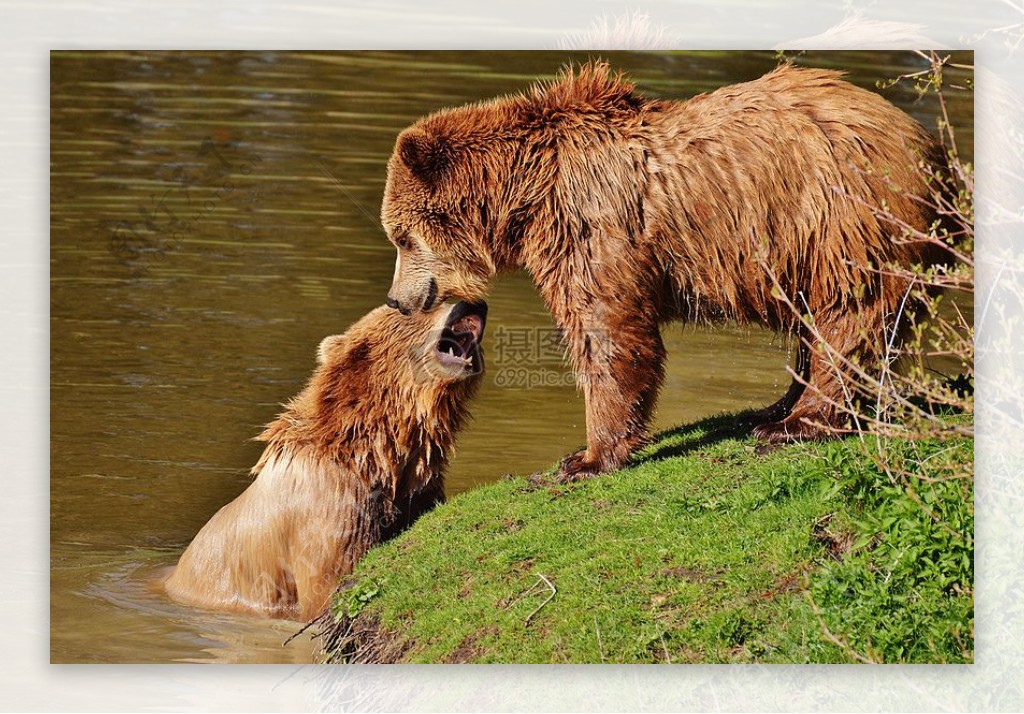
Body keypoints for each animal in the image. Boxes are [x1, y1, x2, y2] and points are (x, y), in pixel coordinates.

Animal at [163, 301, 487, 618]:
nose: (470, 304)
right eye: (419, 308)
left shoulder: (417, 493)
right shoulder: (329, 510)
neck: (373, 455)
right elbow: (330, 584)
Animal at [385, 64, 950, 481]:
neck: (528, 193)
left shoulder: (593, 226)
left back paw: (798, 422)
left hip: (841, 219)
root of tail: (927, 145)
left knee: (850, 315)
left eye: (400, 236)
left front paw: (586, 458)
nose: (397, 299)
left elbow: (609, 332)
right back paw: (772, 408)